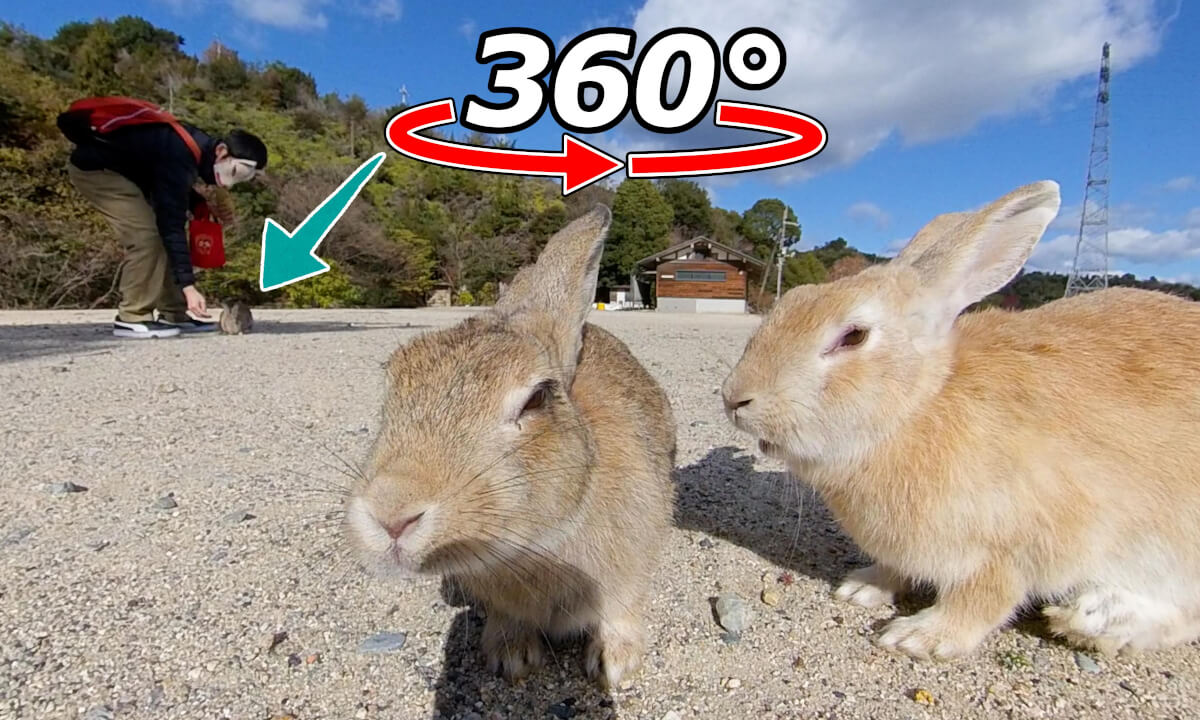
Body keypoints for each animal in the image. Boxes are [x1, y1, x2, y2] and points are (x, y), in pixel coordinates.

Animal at [343, 206, 677, 688]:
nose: (391, 515)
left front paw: (615, 663)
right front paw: (511, 657)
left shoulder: (630, 566)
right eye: (393, 384)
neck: (535, 546)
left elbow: (621, 608)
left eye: (536, 398)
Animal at [720, 179, 1200, 661]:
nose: (734, 397)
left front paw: (918, 636)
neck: (915, 411)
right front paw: (862, 589)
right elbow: (893, 569)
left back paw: (1091, 619)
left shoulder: (1011, 548)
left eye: (853, 336)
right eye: (792, 300)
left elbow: (984, 599)